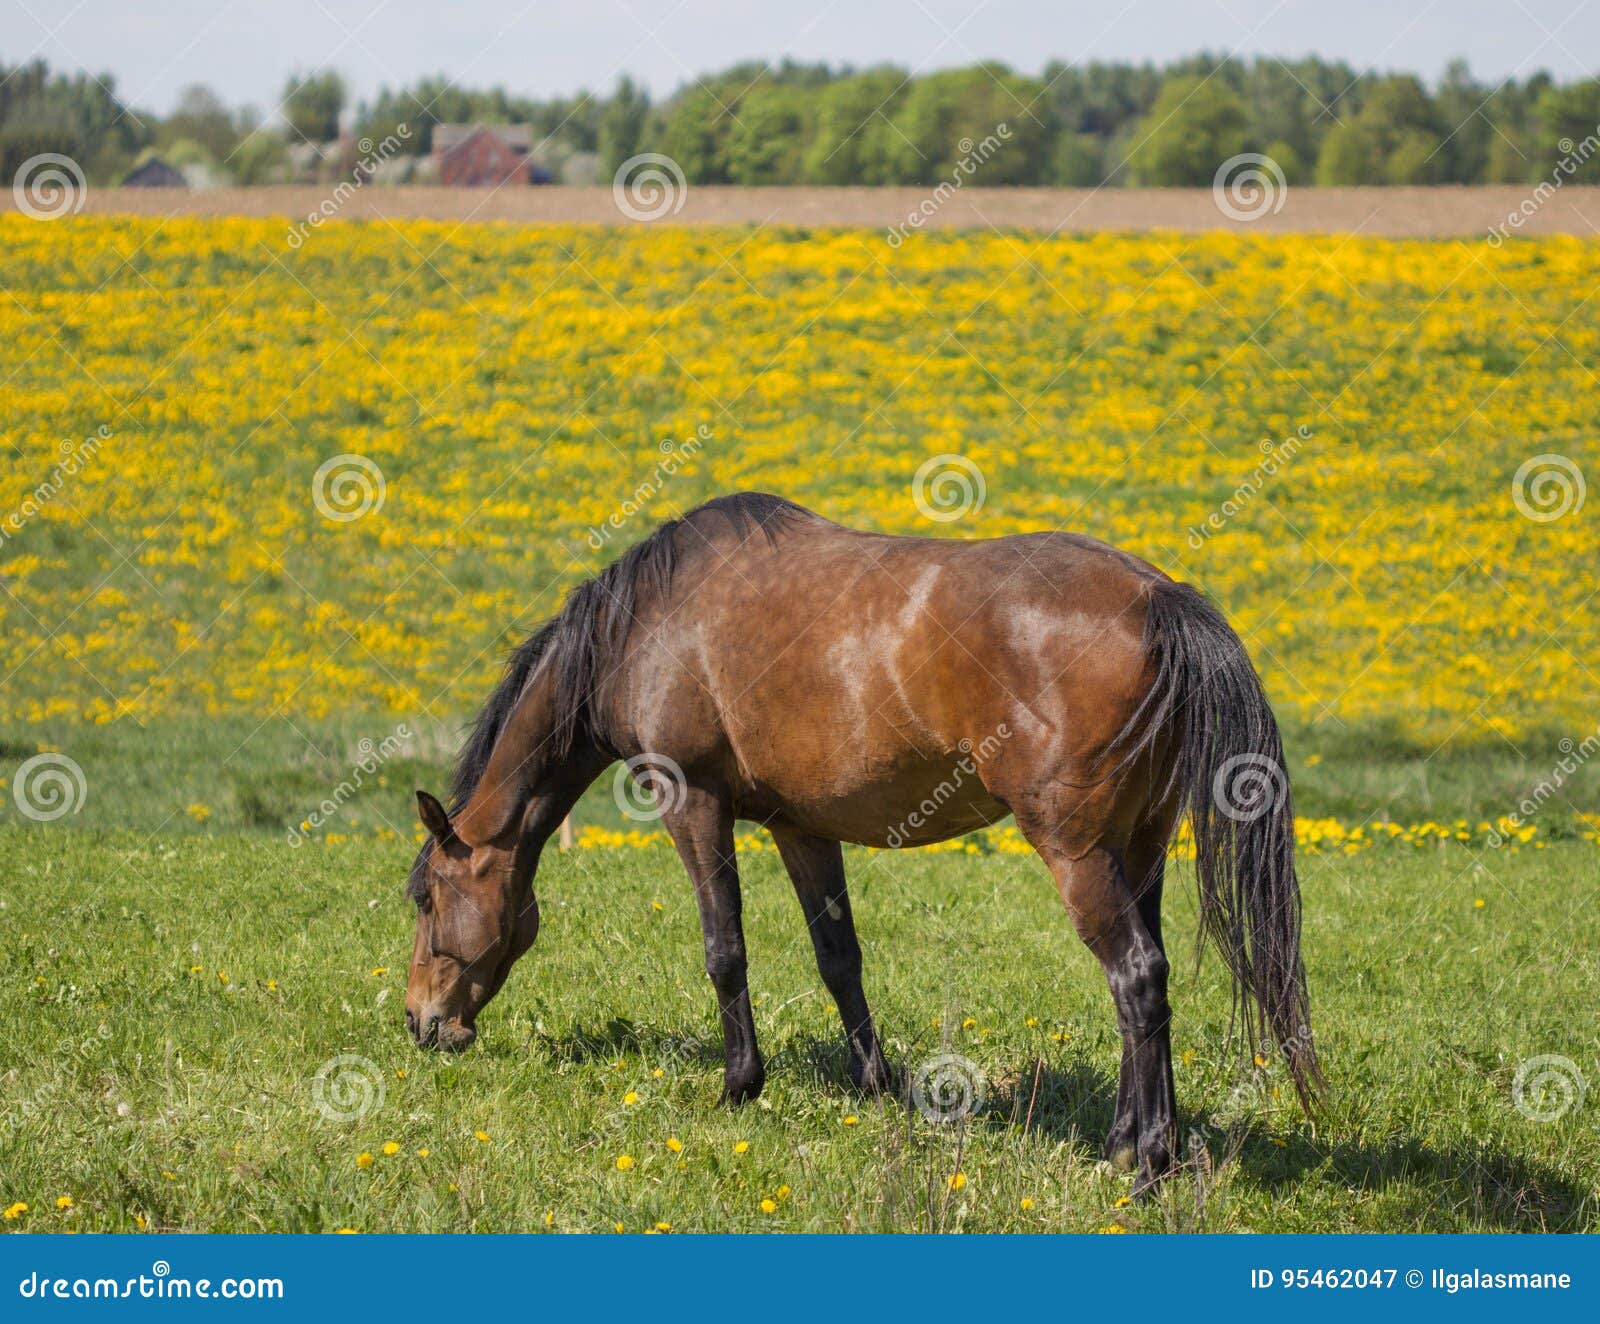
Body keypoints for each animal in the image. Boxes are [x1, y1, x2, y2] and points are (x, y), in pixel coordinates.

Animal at [406, 492, 1318, 1196]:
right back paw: (1129, 1141)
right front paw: (875, 1086)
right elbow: (837, 956)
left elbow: (724, 949)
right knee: (1143, 984)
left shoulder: (691, 800)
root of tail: (1157, 595)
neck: (651, 618)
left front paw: (739, 1087)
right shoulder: (801, 827)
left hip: (1080, 854)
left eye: (425, 899)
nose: (421, 1023)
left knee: (1135, 978)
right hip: (1140, 849)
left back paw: (1147, 1165)